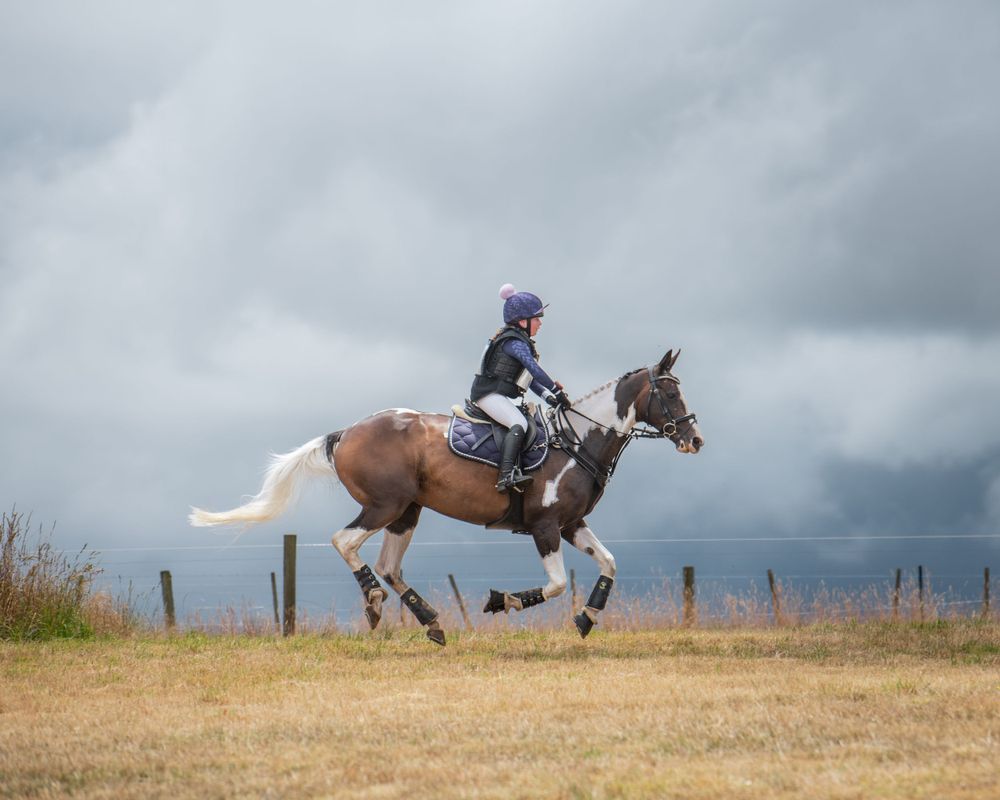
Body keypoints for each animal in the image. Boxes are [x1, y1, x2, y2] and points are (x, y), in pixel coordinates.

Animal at [189, 349, 703, 645]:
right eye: (669, 393)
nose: (695, 440)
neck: (576, 441)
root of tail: (346, 432)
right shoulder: (544, 527)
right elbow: (556, 584)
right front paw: (502, 602)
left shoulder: (572, 525)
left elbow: (609, 564)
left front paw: (587, 617)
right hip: (385, 505)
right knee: (346, 543)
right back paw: (374, 602)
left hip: (407, 511)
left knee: (390, 566)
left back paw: (430, 621)